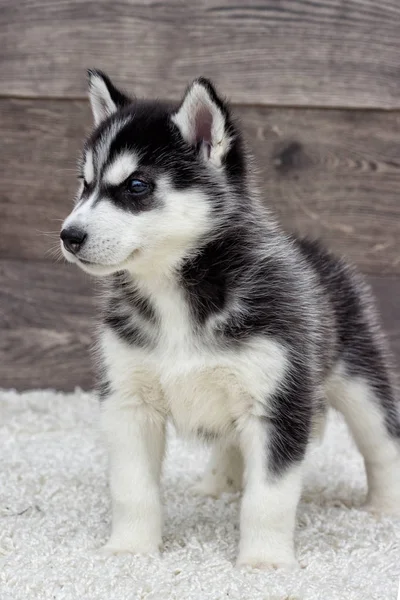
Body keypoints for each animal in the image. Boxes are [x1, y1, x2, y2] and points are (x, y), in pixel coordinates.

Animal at [60, 70, 400, 568]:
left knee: (382, 442)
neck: (176, 294)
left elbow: (268, 498)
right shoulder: (128, 402)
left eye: (137, 186)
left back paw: (385, 508)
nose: (69, 236)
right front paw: (131, 549)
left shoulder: (277, 405)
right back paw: (218, 486)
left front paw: (263, 561)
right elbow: (132, 489)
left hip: (358, 377)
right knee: (230, 442)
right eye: (86, 185)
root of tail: (313, 249)